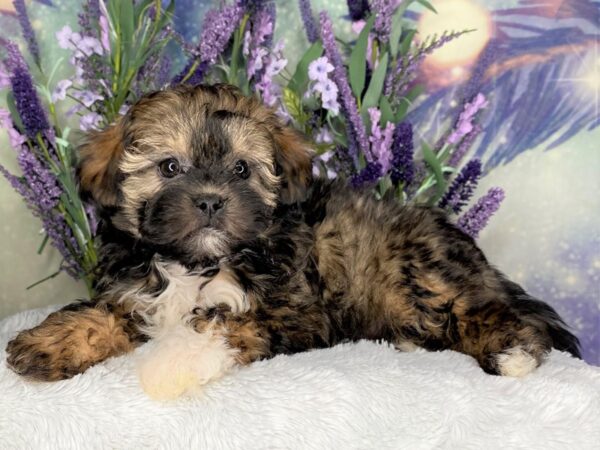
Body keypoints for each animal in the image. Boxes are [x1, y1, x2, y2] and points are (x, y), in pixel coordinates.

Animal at [4, 82, 580, 400]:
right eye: (170, 167)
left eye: (241, 169)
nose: (210, 201)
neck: (195, 263)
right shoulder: (138, 293)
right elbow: (103, 314)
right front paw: (48, 343)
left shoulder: (290, 310)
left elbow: (214, 326)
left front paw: (170, 365)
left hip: (424, 275)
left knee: (495, 315)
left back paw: (512, 353)